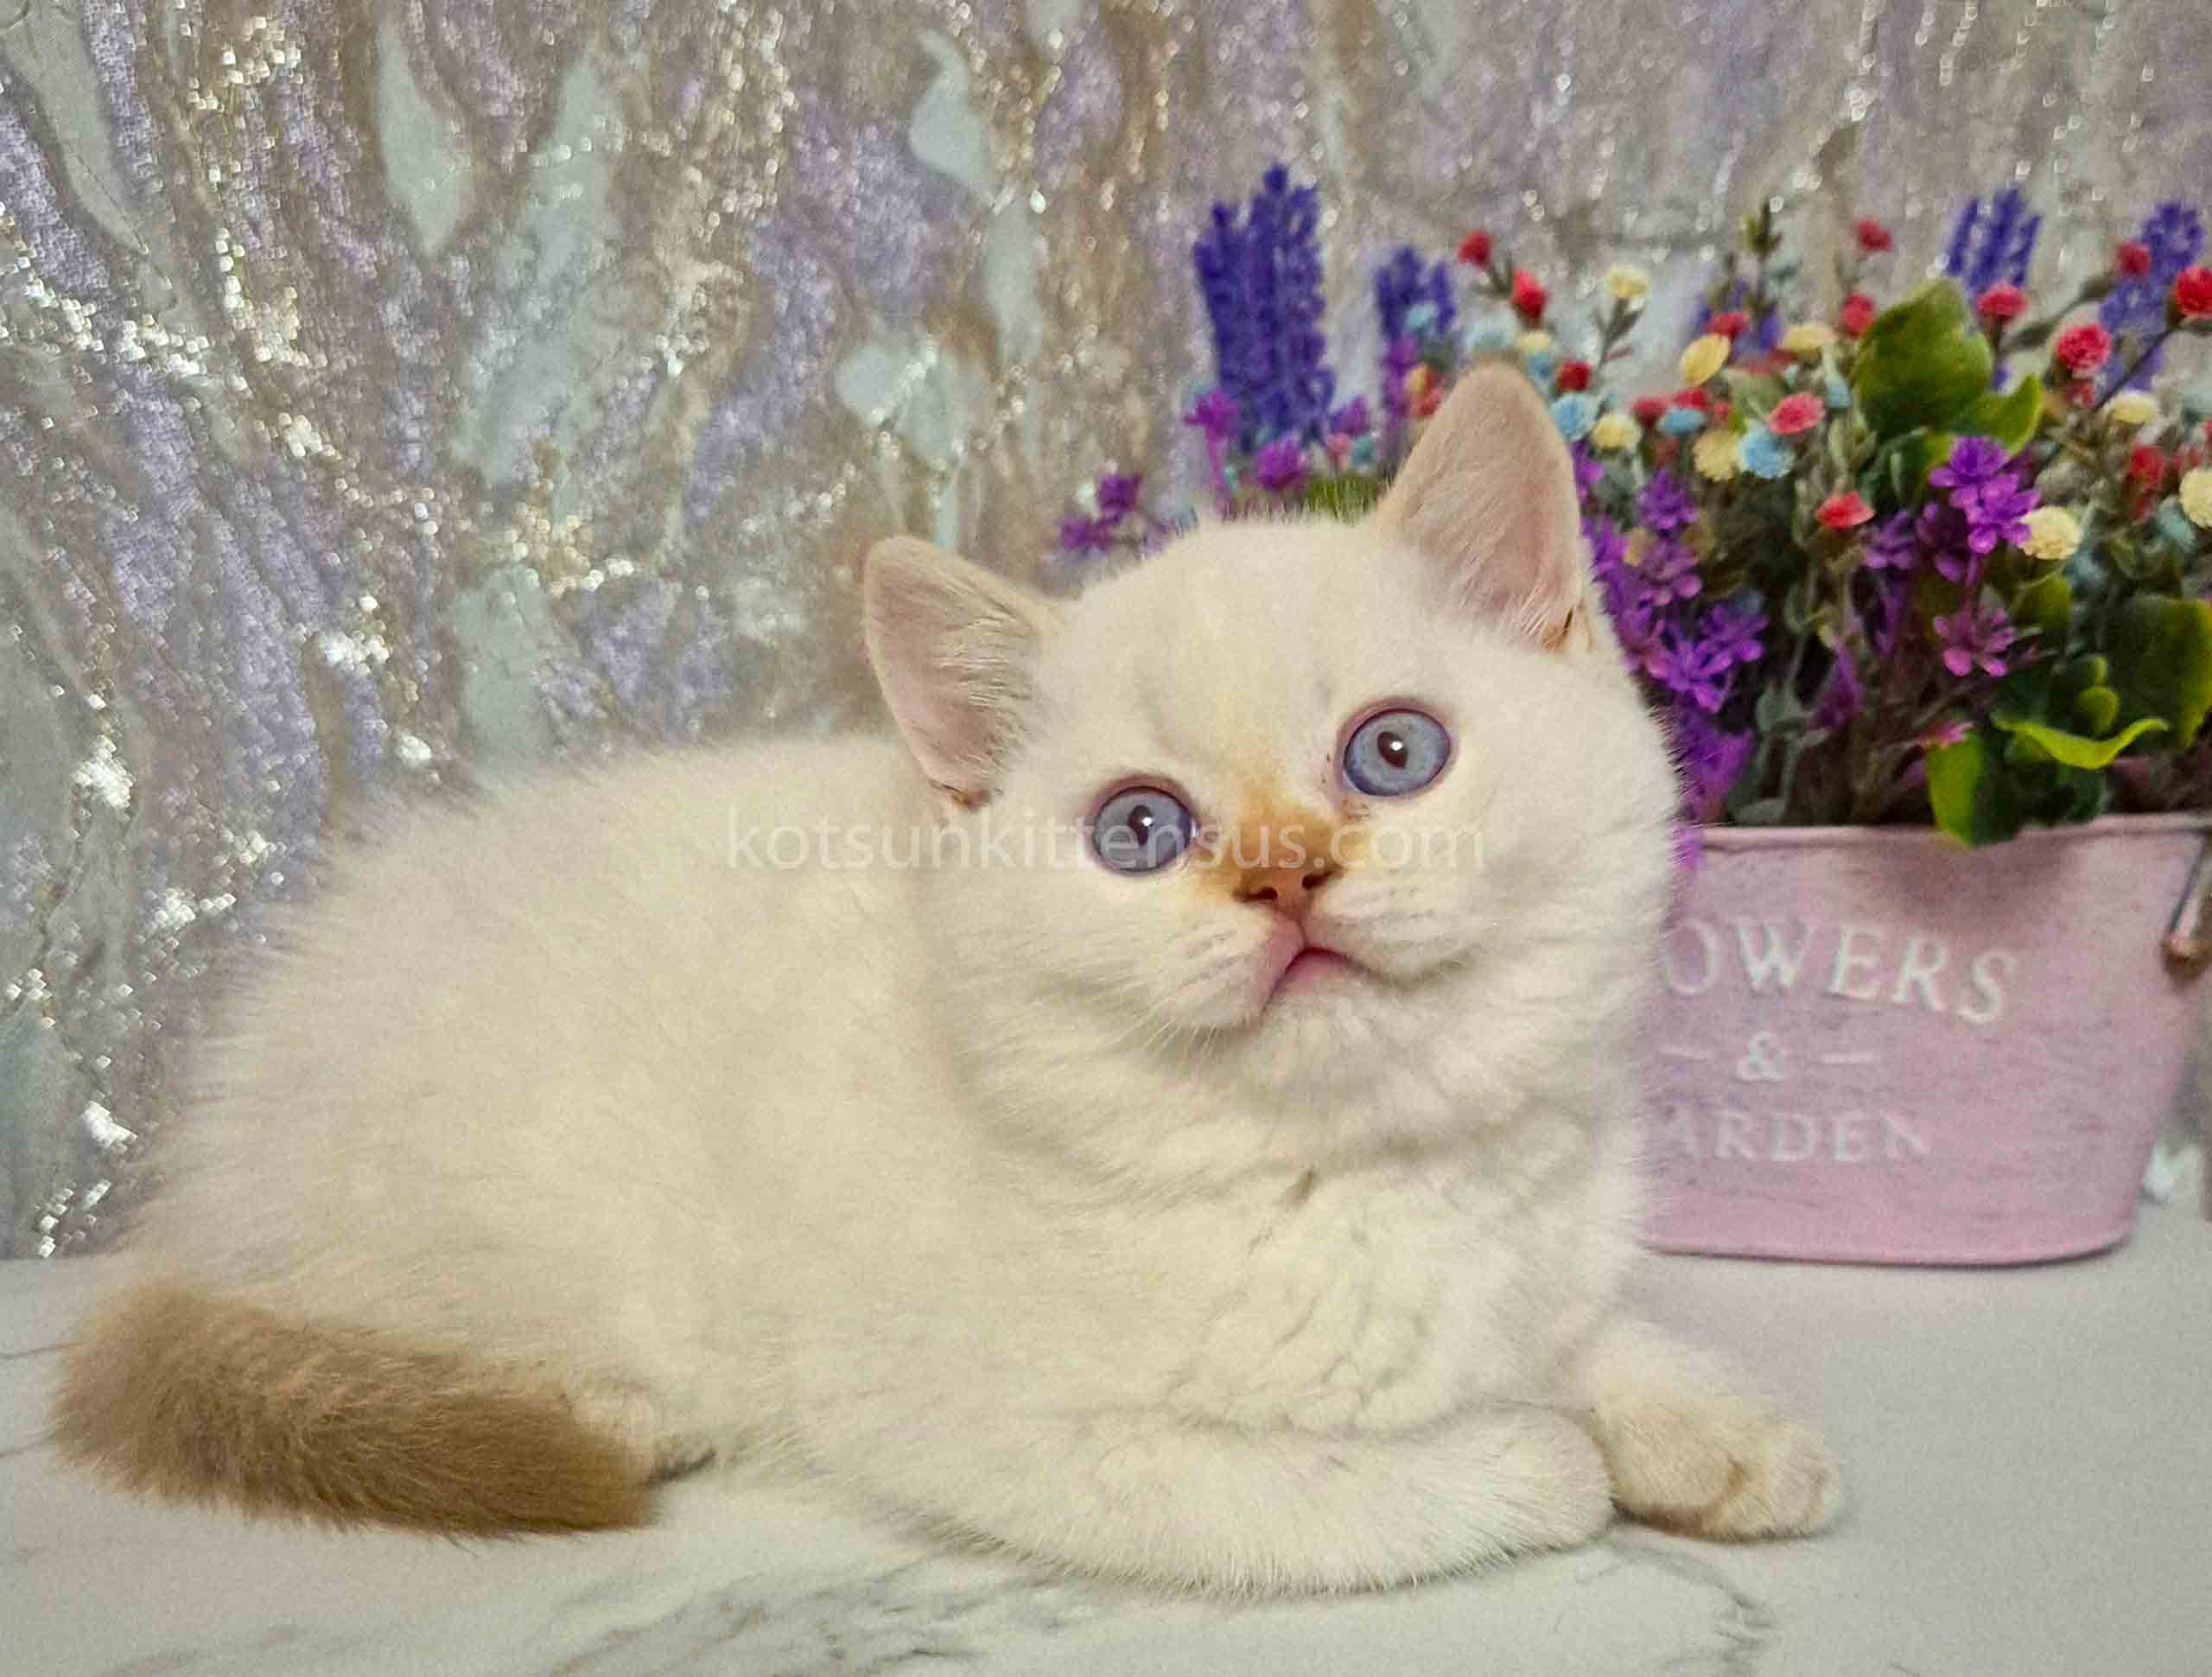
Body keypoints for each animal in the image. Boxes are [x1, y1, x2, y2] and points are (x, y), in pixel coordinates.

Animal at [54, 362, 1839, 1594]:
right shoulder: (979, 1420)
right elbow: (1312, 1492)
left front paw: (1714, 1423)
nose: (1283, 873)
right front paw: (1543, 1463)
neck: (1358, 1169)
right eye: (1139, 831)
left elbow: (1571, 1323)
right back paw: (598, 1408)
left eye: (1393, 753)